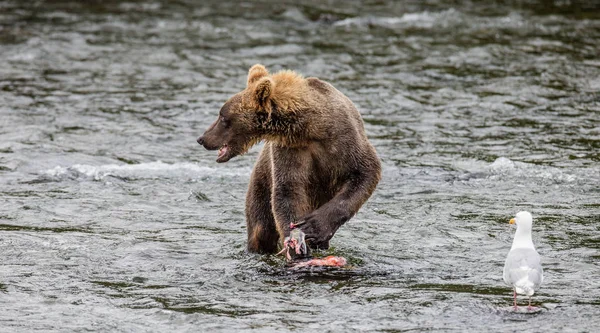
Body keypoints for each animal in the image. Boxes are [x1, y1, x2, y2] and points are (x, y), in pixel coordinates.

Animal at [199, 63, 382, 253]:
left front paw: (313, 226)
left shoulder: (344, 141)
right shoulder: (291, 149)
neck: (311, 127)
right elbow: (288, 190)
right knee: (260, 228)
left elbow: (365, 173)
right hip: (261, 186)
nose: (202, 138)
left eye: (222, 116)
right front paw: (296, 241)